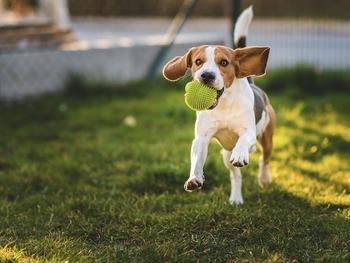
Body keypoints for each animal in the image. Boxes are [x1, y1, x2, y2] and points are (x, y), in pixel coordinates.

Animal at [163, 5, 274, 204]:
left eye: (224, 62)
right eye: (198, 62)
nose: (207, 75)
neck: (224, 106)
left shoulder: (248, 131)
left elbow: (244, 139)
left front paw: (241, 154)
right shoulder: (201, 138)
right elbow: (197, 159)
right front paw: (194, 178)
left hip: (267, 138)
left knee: (264, 160)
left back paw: (264, 179)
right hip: (225, 155)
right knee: (236, 176)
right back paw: (236, 198)